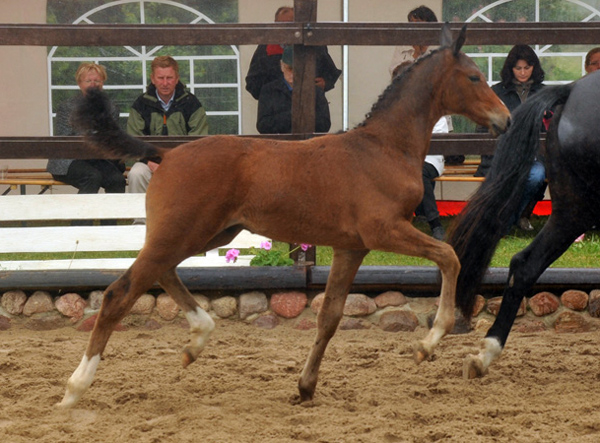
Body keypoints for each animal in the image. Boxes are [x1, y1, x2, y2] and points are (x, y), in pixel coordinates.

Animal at [56, 26, 508, 410]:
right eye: (473, 77)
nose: (504, 119)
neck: (384, 148)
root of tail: (165, 154)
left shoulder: (351, 247)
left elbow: (329, 318)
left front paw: (305, 387)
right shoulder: (384, 231)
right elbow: (449, 255)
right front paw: (429, 342)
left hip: (209, 234)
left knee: (161, 272)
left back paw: (197, 339)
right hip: (184, 232)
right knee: (120, 293)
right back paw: (75, 388)